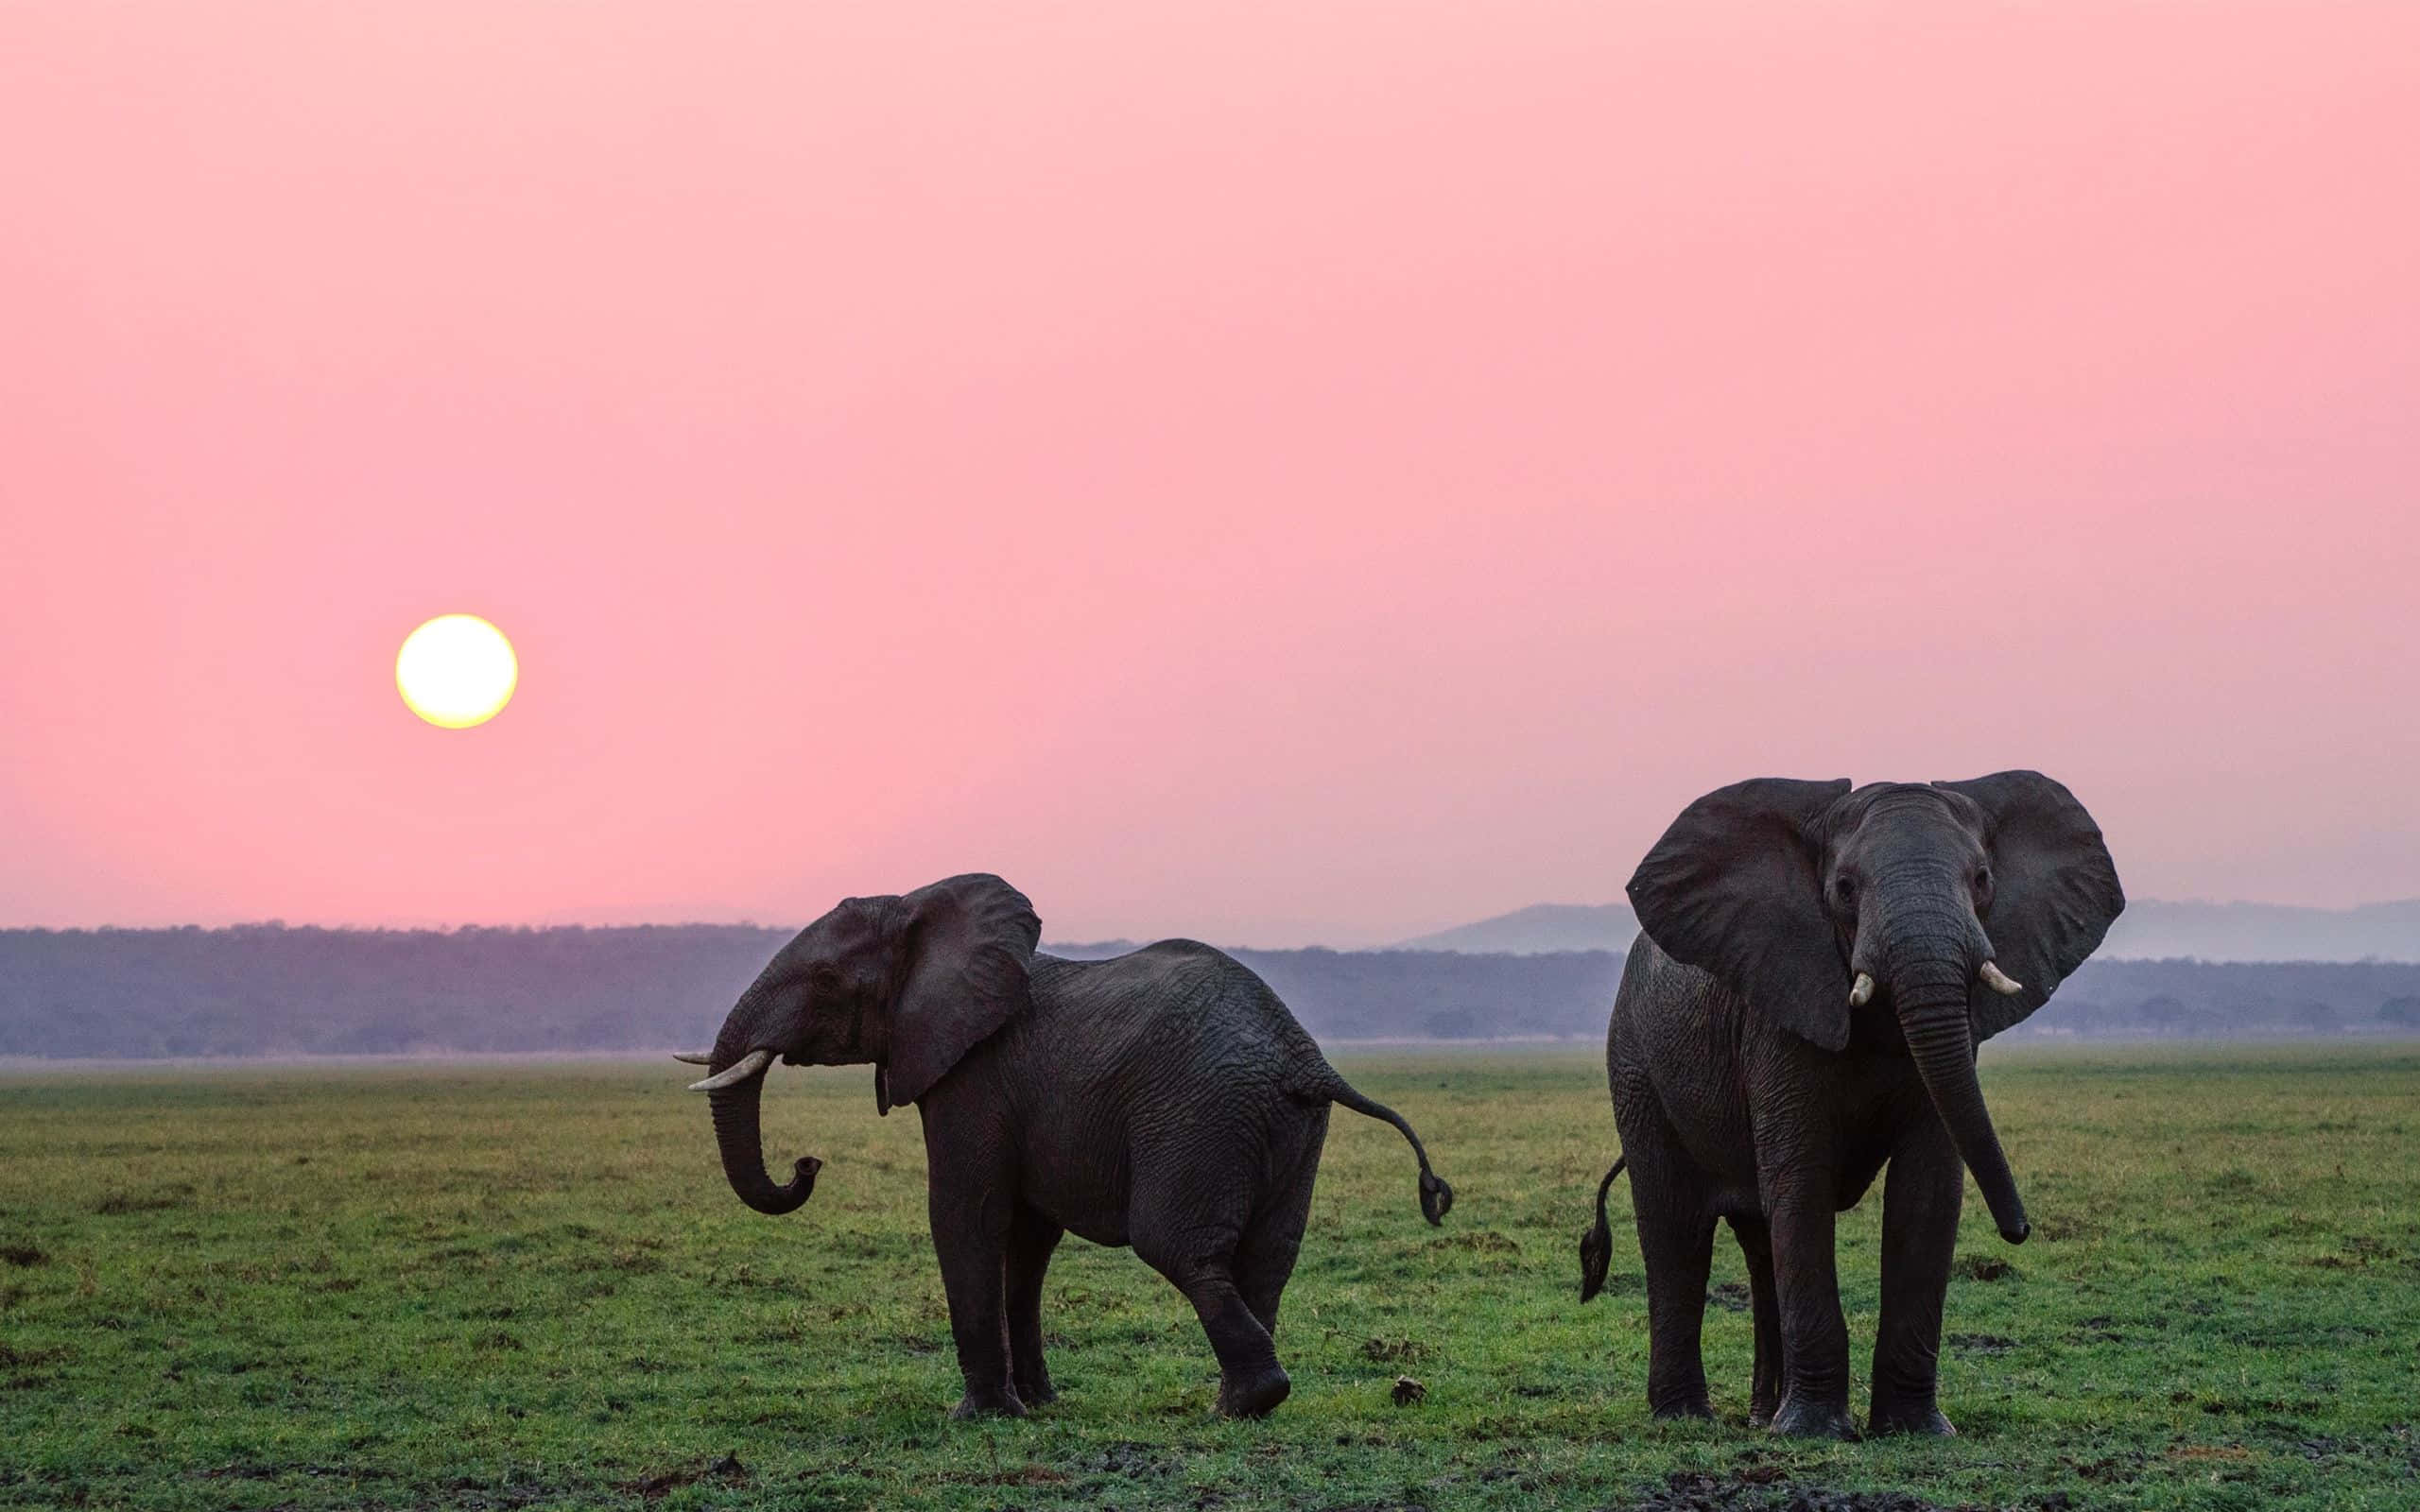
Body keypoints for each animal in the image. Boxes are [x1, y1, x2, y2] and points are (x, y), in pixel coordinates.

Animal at [676, 873, 1453, 1420]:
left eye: (826, 980)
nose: (806, 1164)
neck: (919, 908)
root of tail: (1302, 1056)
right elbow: (1027, 1239)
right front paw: (1040, 1406)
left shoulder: (973, 1076)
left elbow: (965, 1215)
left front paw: (981, 1416)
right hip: (1286, 1126)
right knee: (1268, 1256)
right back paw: (1240, 1404)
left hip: (1200, 1115)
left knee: (1177, 1246)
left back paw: (1241, 1404)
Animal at [1578, 773, 2121, 1439]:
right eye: (1843, 888)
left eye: (1982, 879)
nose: (2019, 1230)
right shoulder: (1780, 1006)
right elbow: (1802, 1182)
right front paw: (1814, 1433)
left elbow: (1927, 1191)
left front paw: (1916, 1431)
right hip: (1636, 1068)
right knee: (1677, 1228)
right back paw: (1687, 1419)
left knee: (1759, 1243)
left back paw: (1761, 1419)